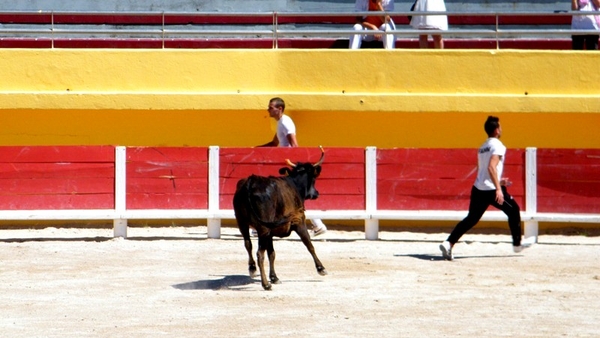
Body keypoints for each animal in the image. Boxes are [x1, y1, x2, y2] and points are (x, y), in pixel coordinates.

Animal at [234, 149, 328, 290]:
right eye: (314, 178)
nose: (316, 194)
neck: (294, 184)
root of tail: (250, 183)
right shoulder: (299, 222)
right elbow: (309, 244)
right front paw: (321, 268)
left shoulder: (270, 233)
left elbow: (272, 253)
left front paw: (274, 277)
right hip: (263, 228)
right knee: (259, 254)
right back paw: (265, 284)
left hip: (243, 223)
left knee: (248, 244)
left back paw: (252, 269)